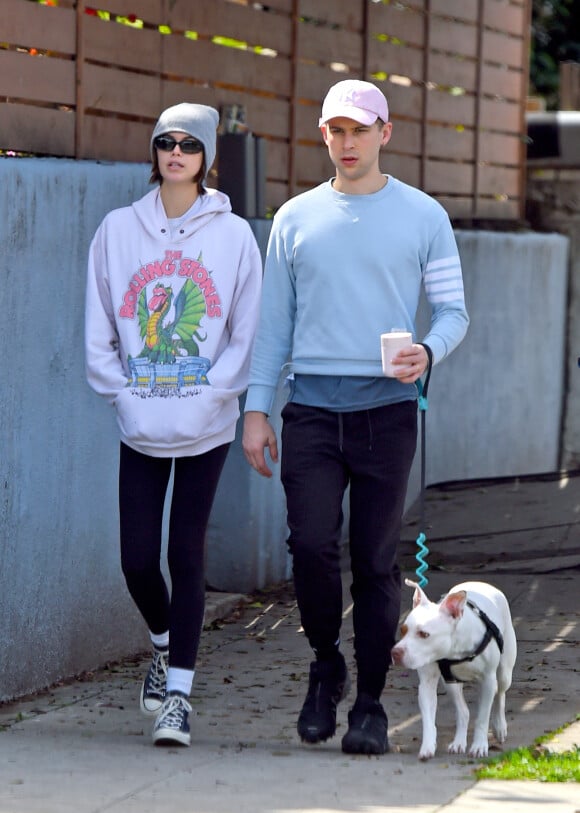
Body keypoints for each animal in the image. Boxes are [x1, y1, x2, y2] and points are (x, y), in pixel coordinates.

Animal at [390, 576, 516, 760]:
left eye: (424, 634)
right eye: (403, 630)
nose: (395, 652)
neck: (455, 649)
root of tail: (481, 583)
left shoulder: (488, 680)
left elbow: (482, 718)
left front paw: (479, 745)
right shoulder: (427, 684)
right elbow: (428, 719)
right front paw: (428, 746)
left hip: (504, 673)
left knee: (500, 694)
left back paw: (499, 726)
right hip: (451, 683)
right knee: (463, 711)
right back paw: (459, 742)